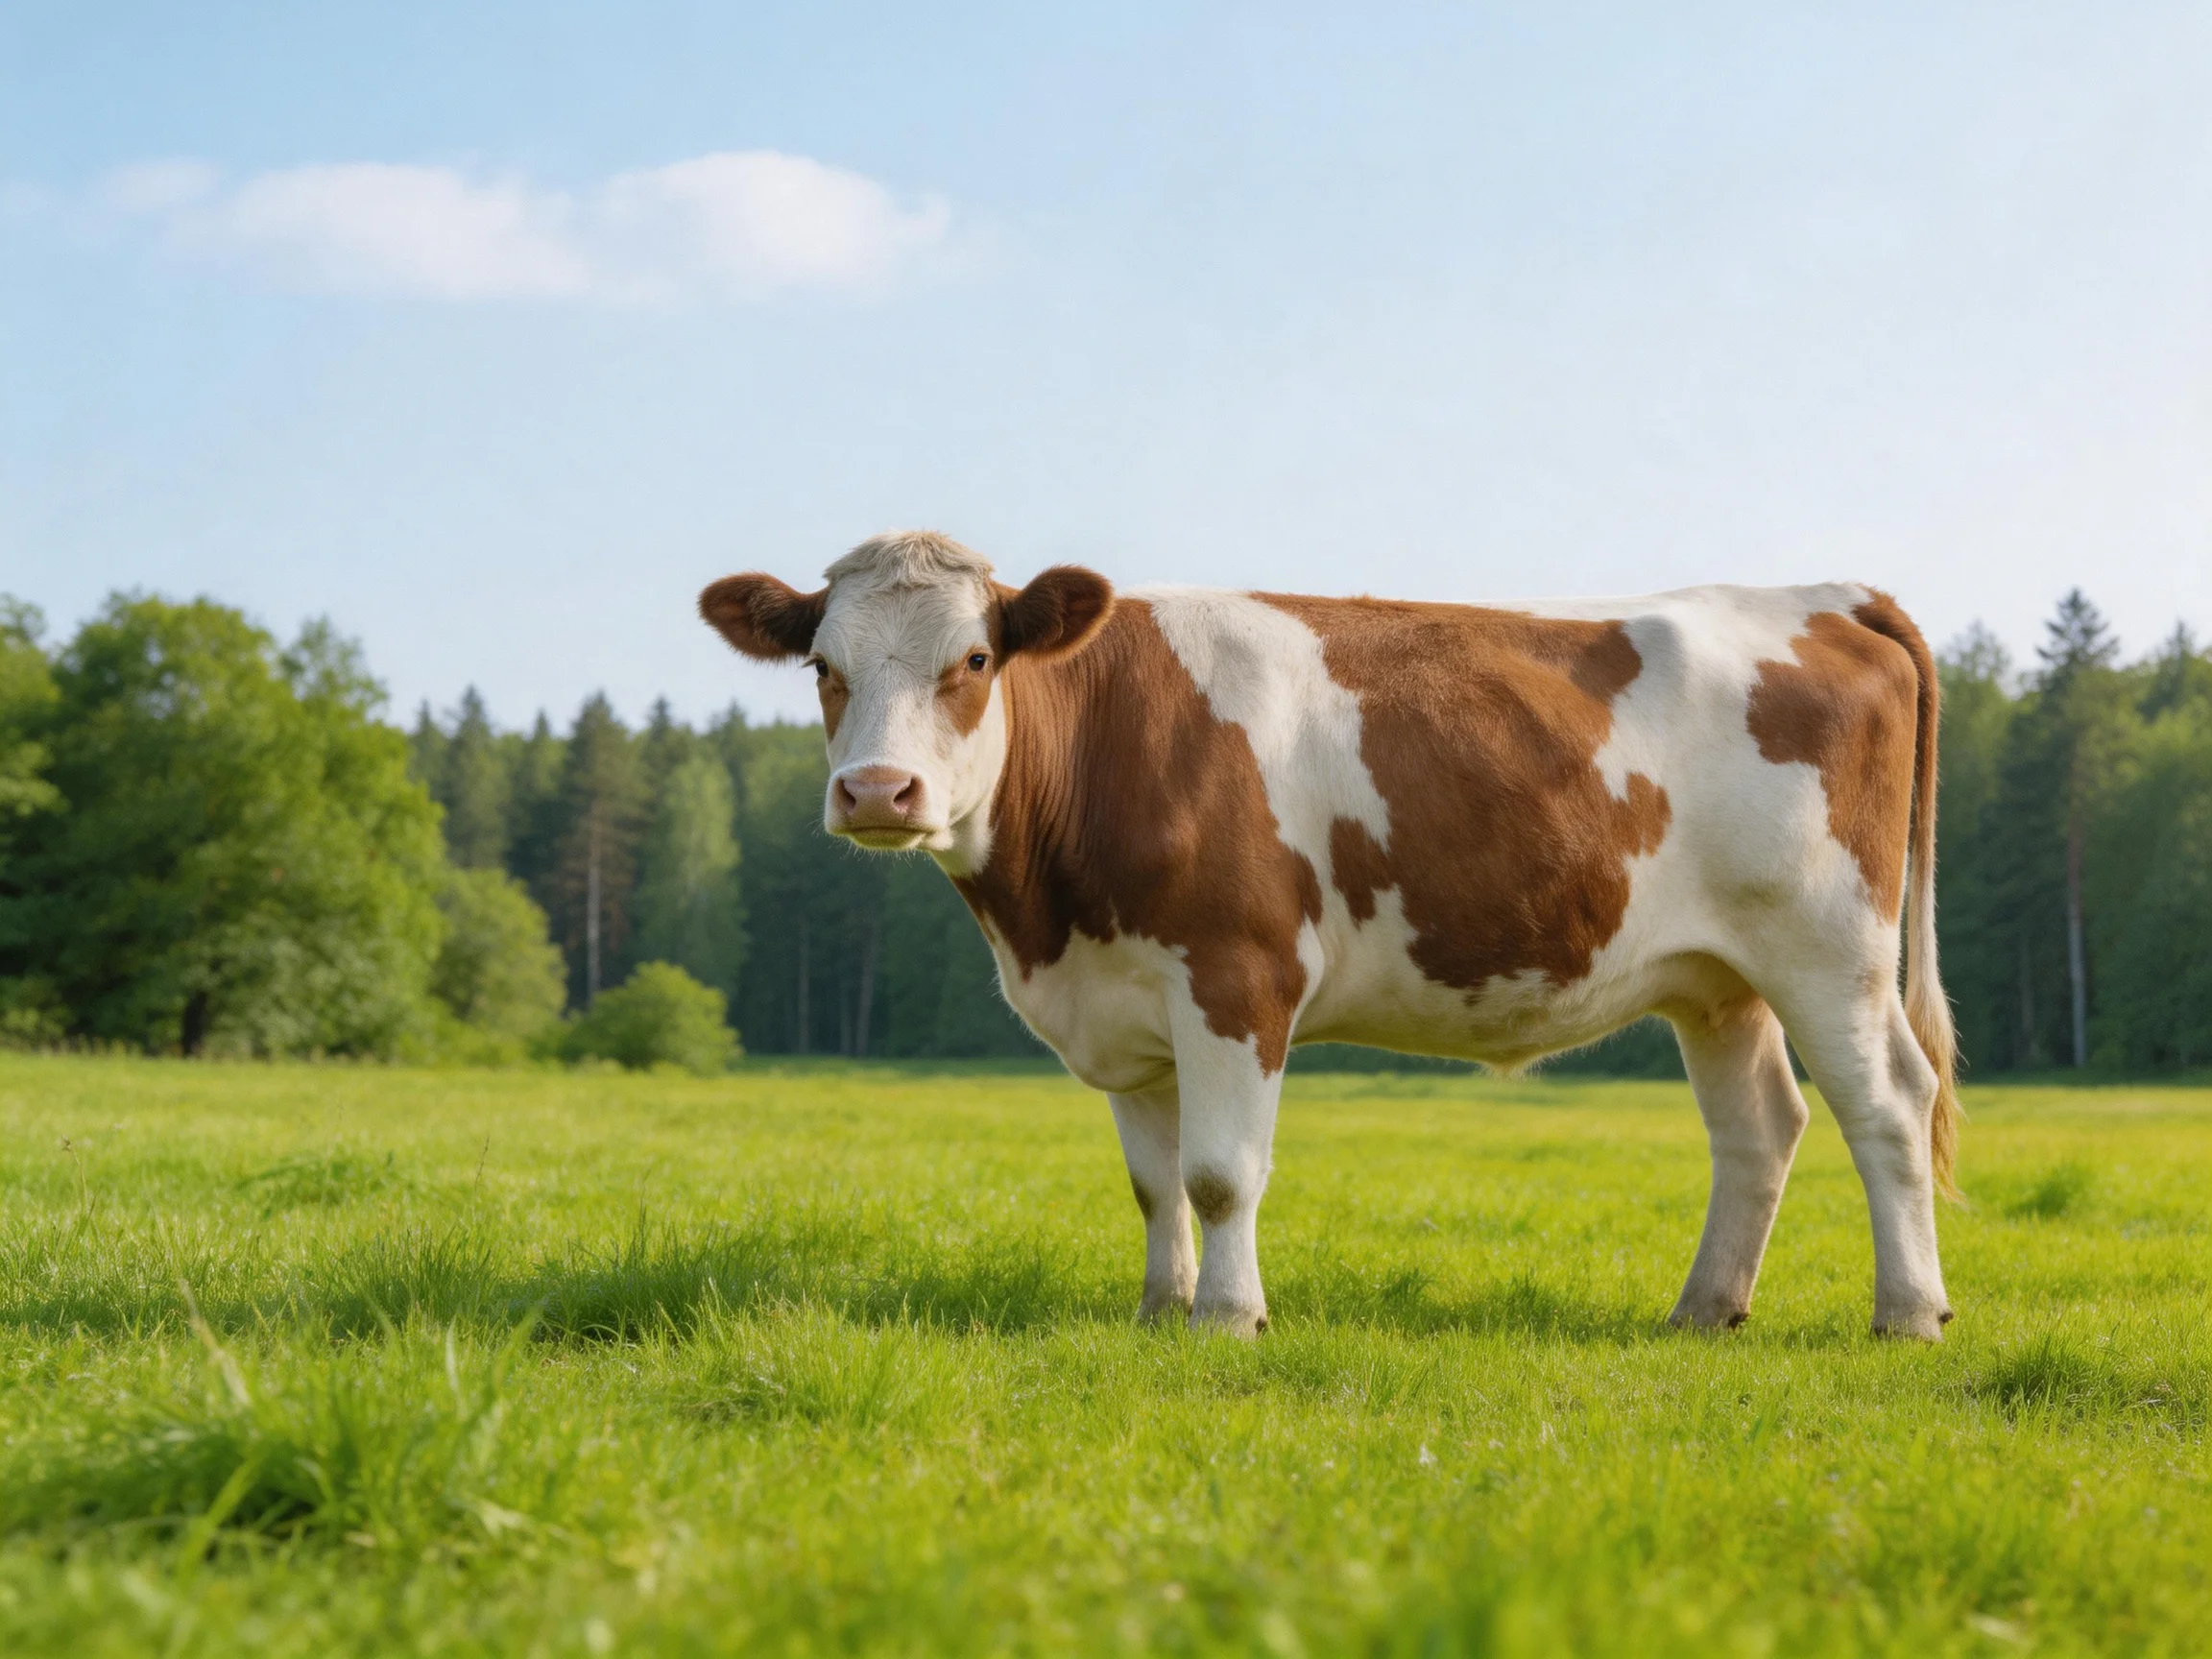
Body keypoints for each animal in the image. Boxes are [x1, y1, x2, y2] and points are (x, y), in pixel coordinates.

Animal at [700, 531, 1961, 1340]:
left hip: (1829, 949)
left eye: (971, 661)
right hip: (1718, 977)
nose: (877, 791)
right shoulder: (1128, 1007)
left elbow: (1219, 1174)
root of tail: (1827, 594)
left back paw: (1907, 1314)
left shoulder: (1235, 974)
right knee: (1760, 1127)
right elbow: (1153, 1185)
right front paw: (1157, 1310)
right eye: (824, 668)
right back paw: (1705, 1311)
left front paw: (1227, 1320)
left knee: (1887, 1105)